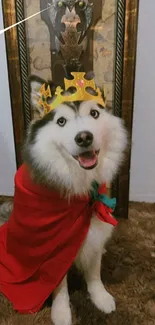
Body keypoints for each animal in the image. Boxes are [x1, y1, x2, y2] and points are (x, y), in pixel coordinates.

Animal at [0, 77, 127, 324]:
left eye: (94, 113)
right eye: (61, 121)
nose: (84, 137)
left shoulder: (95, 230)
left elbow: (94, 270)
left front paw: (99, 296)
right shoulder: (54, 249)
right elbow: (59, 286)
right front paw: (61, 312)